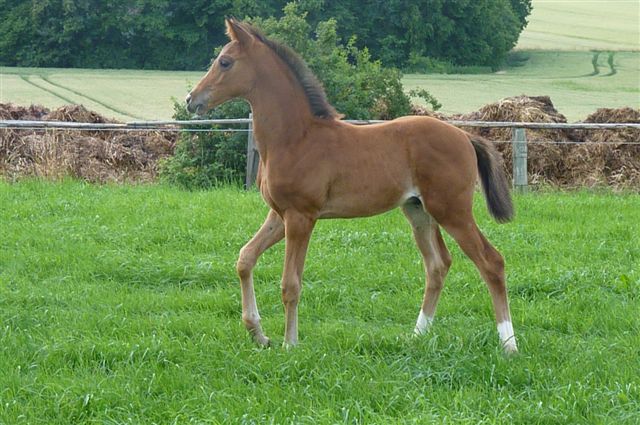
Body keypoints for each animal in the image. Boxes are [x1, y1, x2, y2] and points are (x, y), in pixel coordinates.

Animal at [186, 19, 520, 352]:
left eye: (225, 62)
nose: (192, 100)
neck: (296, 138)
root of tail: (465, 136)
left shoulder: (301, 217)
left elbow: (290, 283)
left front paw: (290, 343)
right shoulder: (279, 215)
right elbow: (245, 258)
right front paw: (258, 332)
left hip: (452, 210)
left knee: (492, 262)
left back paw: (509, 345)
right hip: (418, 211)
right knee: (438, 265)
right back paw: (417, 335)